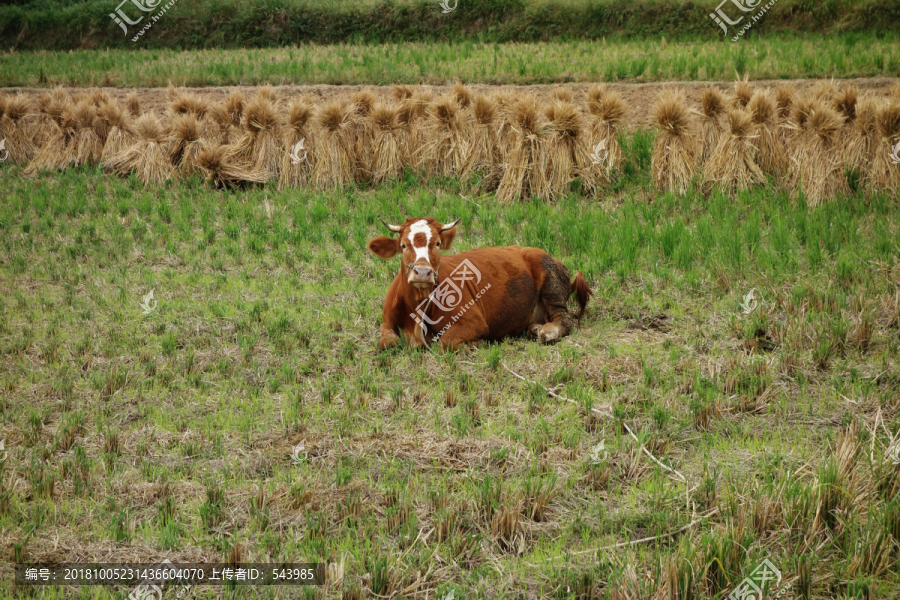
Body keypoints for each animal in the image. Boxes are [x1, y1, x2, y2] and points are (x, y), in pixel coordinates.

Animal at [366, 217, 592, 350]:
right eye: (403, 245)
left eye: (437, 243)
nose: (422, 272)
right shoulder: (387, 322)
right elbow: (387, 342)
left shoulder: (474, 322)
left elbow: (444, 342)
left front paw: (476, 343)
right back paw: (536, 328)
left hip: (551, 283)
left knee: (564, 319)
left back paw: (547, 331)